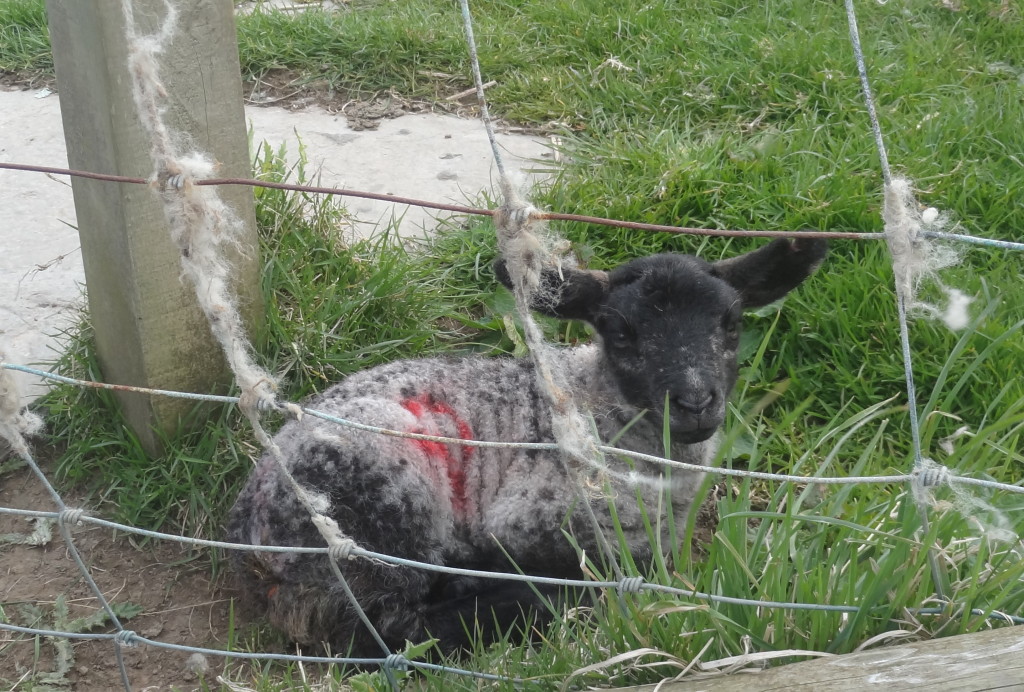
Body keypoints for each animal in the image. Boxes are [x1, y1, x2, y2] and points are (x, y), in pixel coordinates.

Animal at [224, 235, 823, 655]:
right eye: (619, 332)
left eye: (732, 321)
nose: (695, 403)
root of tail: (248, 521)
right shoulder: (535, 520)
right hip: (380, 503)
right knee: (385, 629)